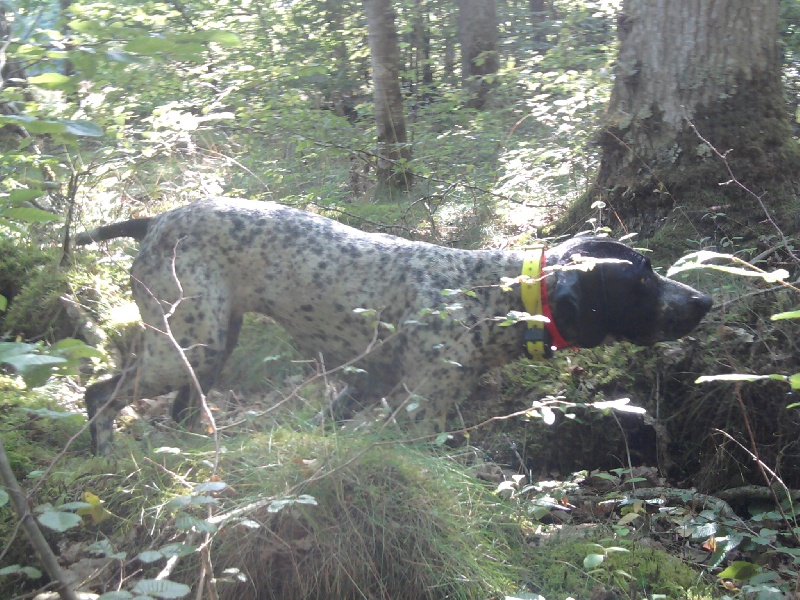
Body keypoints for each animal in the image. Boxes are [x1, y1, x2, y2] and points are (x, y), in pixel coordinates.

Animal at [76, 198, 712, 454]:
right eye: (643, 279)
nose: (704, 299)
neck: (491, 294)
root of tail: (154, 221)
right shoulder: (421, 410)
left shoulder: (368, 384)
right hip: (187, 344)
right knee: (100, 392)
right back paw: (105, 451)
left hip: (207, 343)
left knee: (180, 409)